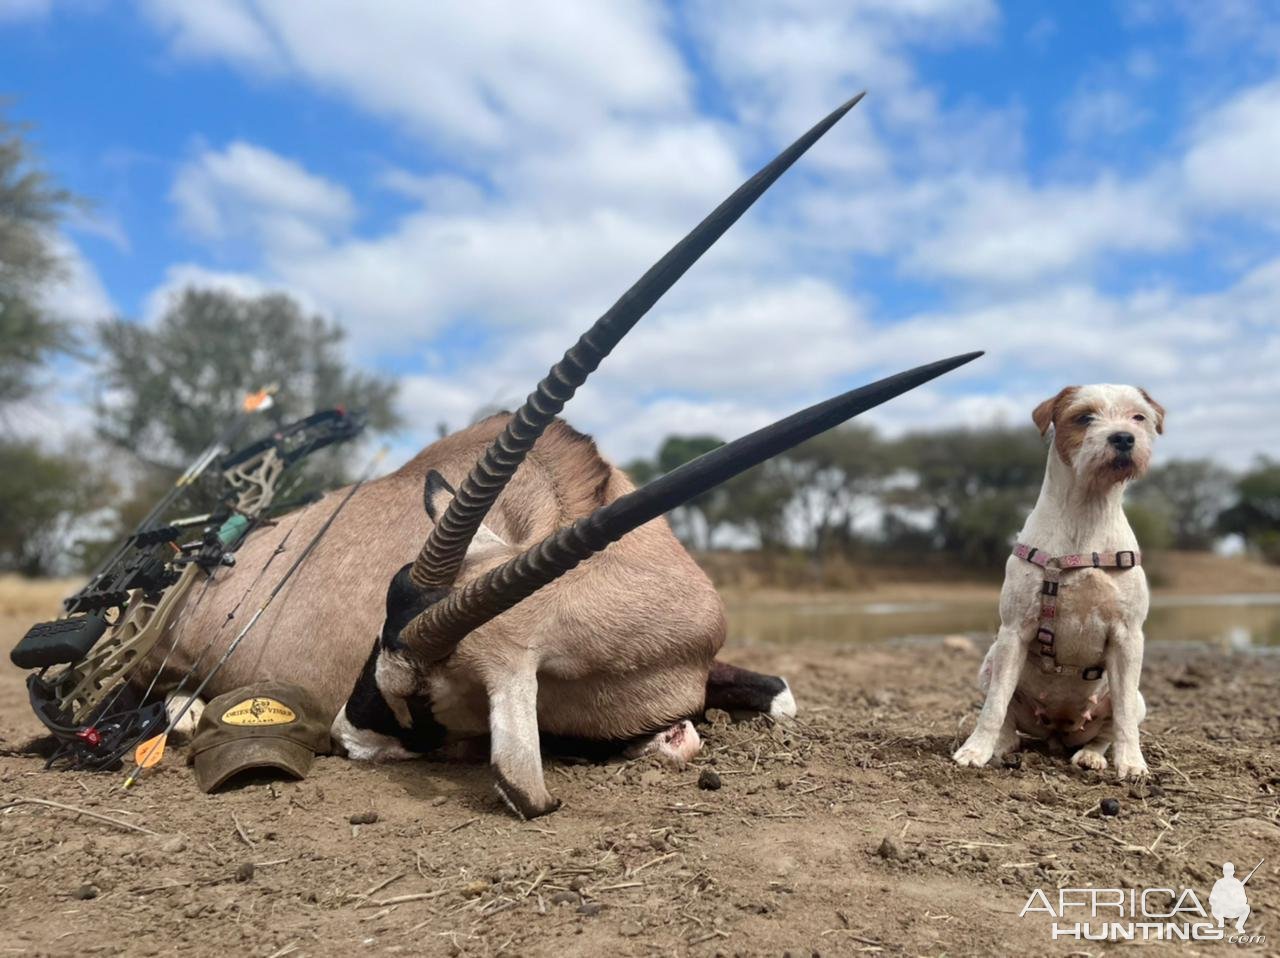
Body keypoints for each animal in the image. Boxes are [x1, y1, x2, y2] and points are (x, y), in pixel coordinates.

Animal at [957, 381, 1167, 778]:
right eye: (1084, 417)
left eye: (1138, 417)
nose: (1124, 437)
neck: (1087, 511)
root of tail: (1058, 731)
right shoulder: (1013, 631)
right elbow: (994, 706)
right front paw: (975, 750)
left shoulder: (1128, 637)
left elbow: (1123, 719)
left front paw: (1132, 762)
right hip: (989, 664)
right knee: (1007, 716)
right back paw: (1002, 745)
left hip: (1138, 697)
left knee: (1108, 727)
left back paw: (1092, 755)